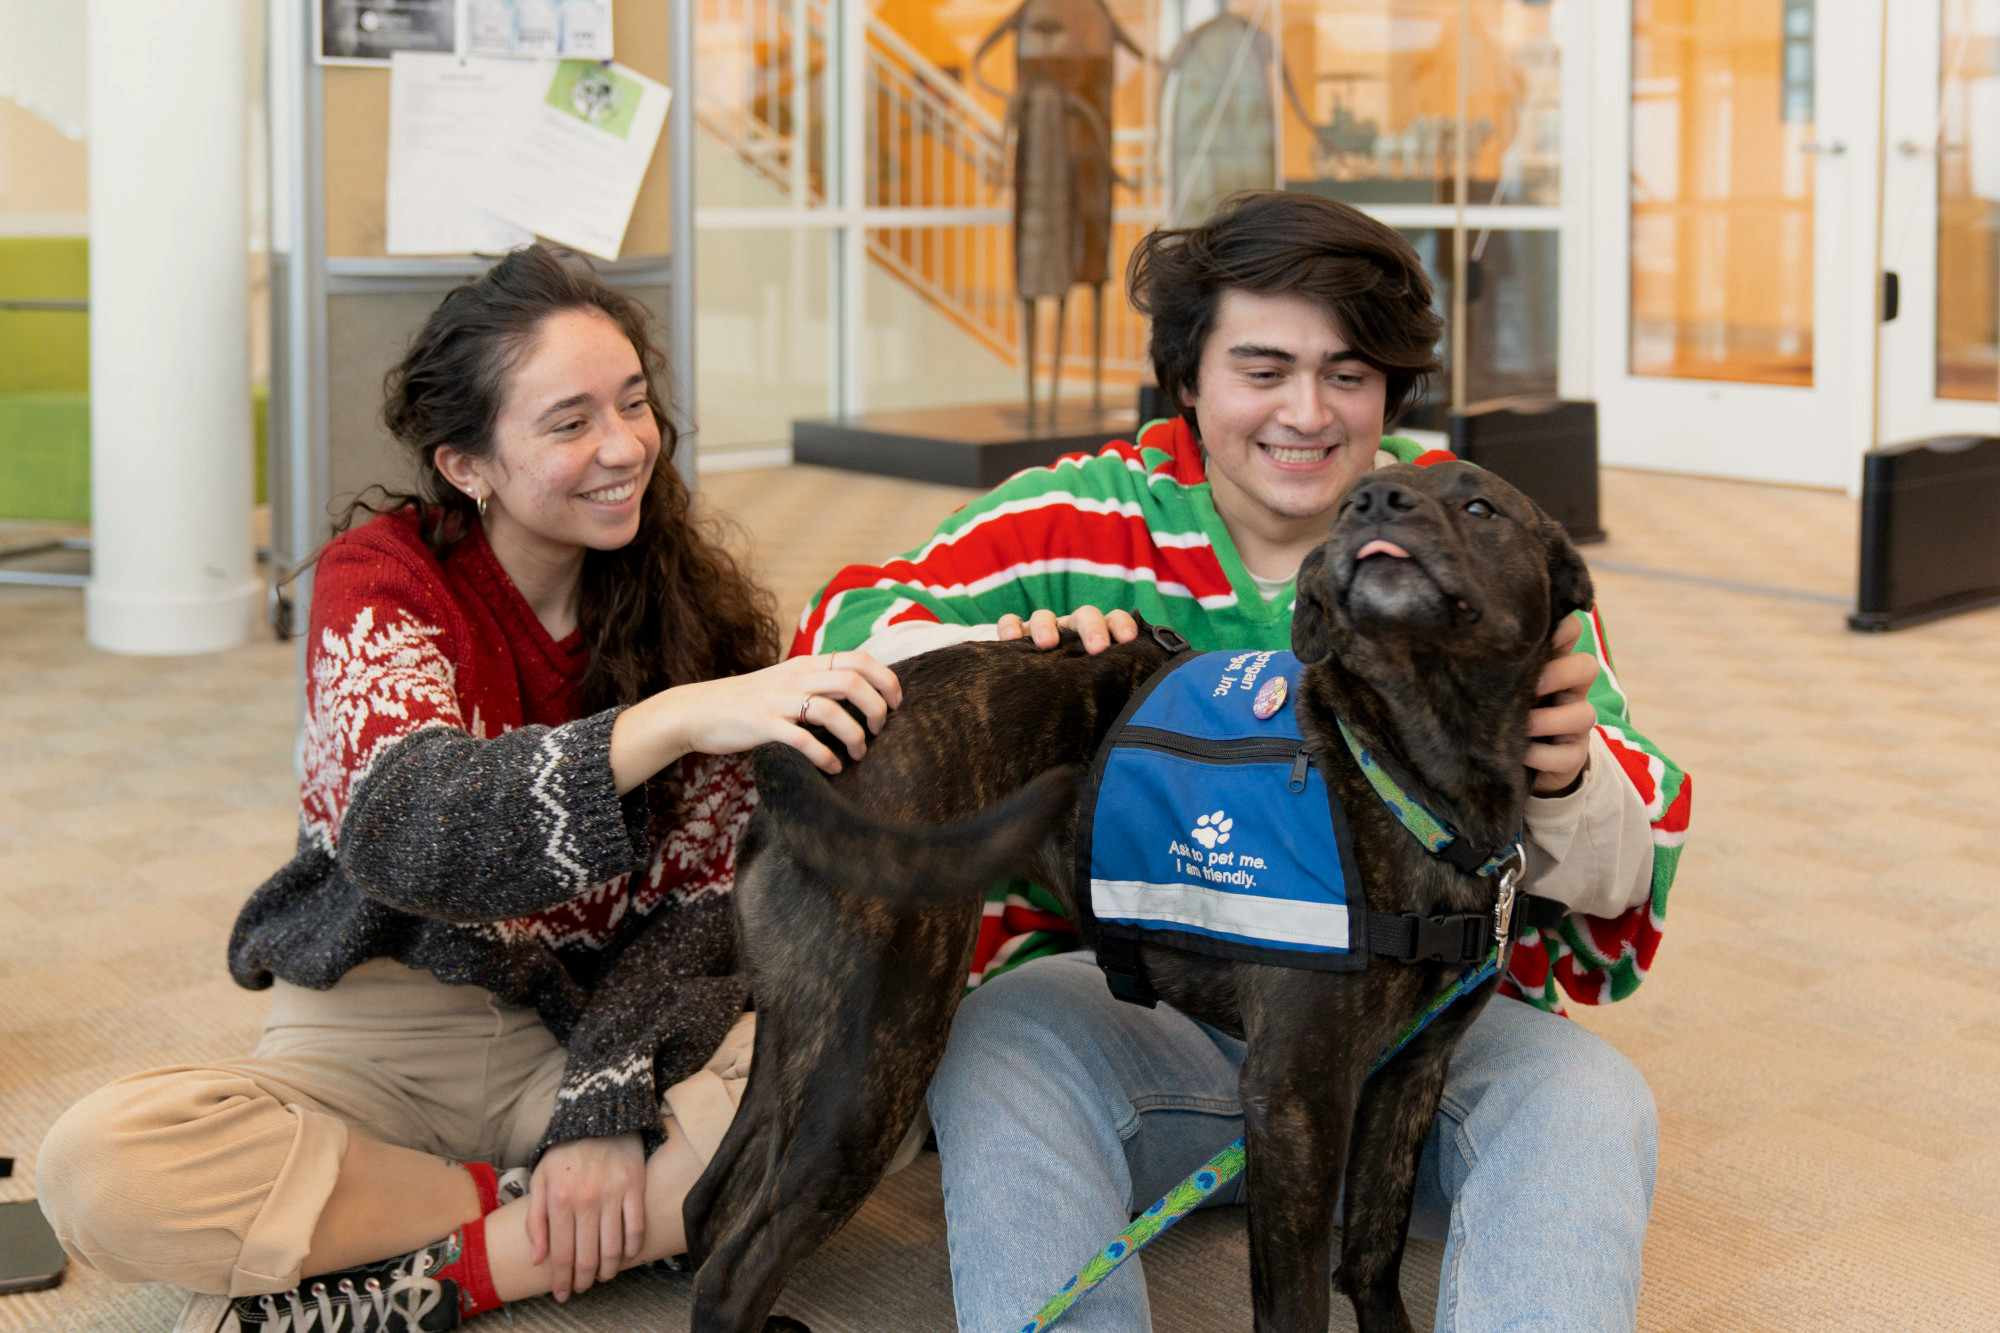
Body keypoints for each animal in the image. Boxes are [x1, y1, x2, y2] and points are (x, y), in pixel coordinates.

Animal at [688, 460, 1592, 1328]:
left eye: (1480, 508)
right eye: (1345, 509)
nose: (1374, 501)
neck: (1402, 775)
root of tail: (803, 747)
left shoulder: (1408, 1076)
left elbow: (1371, 1260)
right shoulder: (1297, 1102)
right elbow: (1297, 1302)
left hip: (804, 1035)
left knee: (708, 1203)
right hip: (875, 1057)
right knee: (732, 1271)